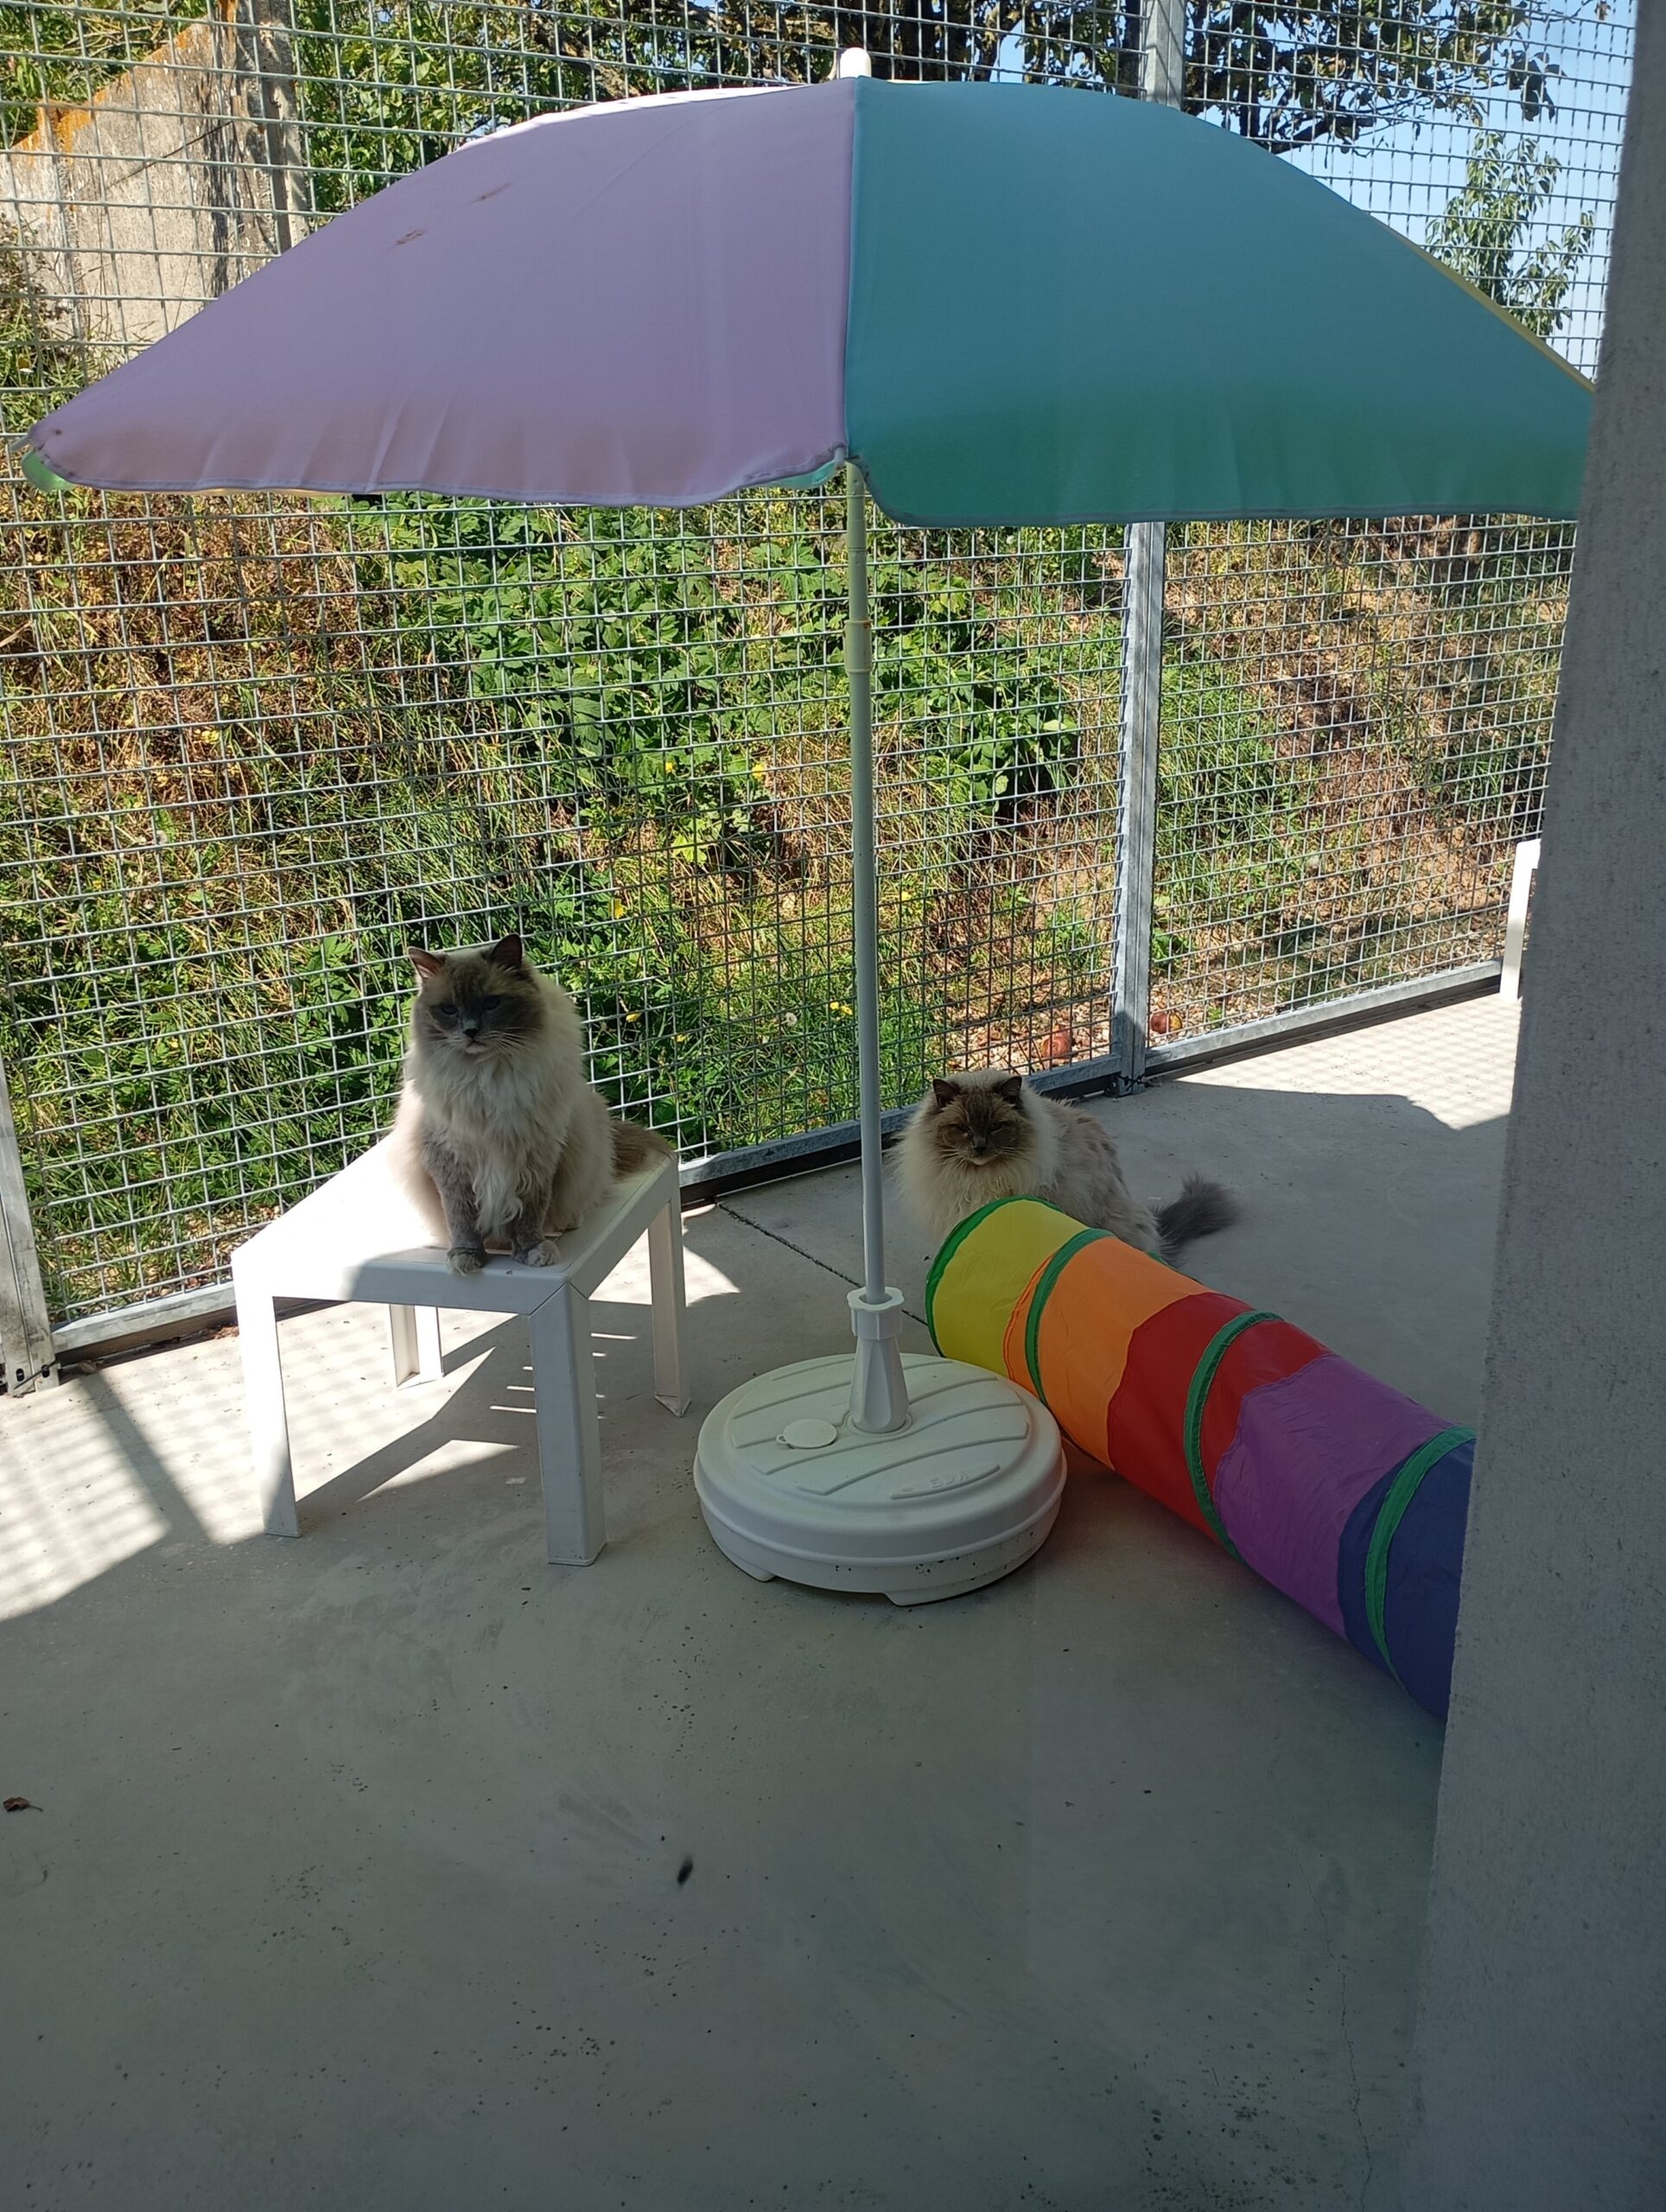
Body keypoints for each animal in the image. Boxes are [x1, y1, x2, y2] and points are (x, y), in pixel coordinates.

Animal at [389, 933, 668, 1282]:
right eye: (449, 1010)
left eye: (491, 1003)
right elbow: (461, 1219)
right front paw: (466, 1257)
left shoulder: (535, 1155)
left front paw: (532, 1252)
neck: (485, 1078)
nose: (471, 1031)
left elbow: (531, 1214)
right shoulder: (452, 1161)